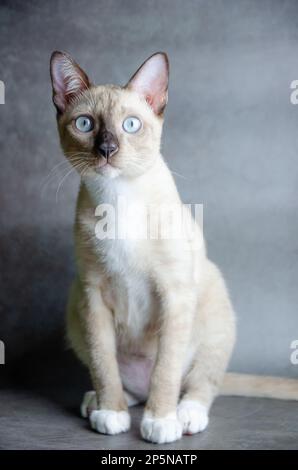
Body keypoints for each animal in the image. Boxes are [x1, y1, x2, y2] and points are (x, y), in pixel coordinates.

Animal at [50, 51, 296, 444]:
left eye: (131, 125)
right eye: (85, 124)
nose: (107, 149)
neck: (117, 198)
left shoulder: (173, 292)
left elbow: (165, 369)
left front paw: (160, 422)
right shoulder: (92, 294)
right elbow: (104, 365)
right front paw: (111, 413)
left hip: (214, 303)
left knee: (198, 384)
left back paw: (185, 415)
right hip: (75, 310)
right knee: (125, 381)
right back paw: (100, 403)